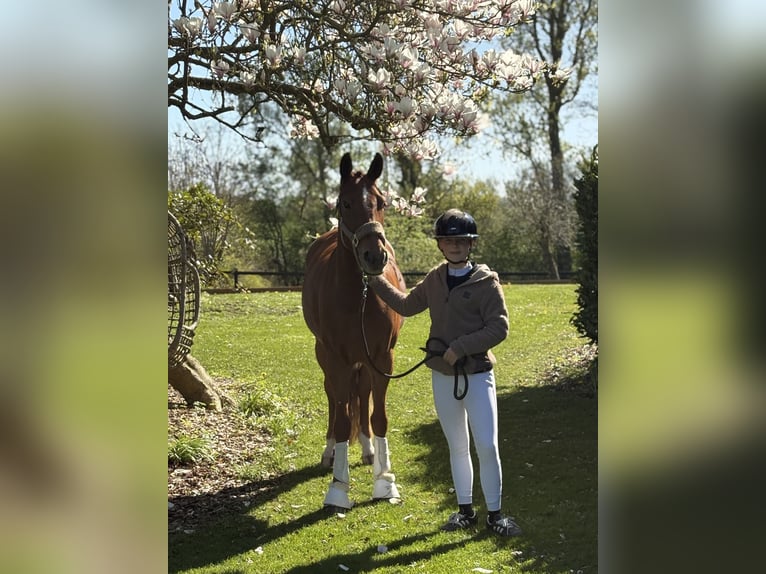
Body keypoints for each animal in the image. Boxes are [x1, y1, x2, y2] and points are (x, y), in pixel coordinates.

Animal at [302, 152, 406, 510]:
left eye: (381, 202)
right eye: (345, 203)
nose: (374, 256)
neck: (358, 294)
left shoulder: (382, 358)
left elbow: (378, 417)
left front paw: (385, 481)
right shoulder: (336, 359)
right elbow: (343, 417)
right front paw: (338, 487)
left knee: (360, 395)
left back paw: (368, 449)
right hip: (325, 356)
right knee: (336, 399)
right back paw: (331, 451)